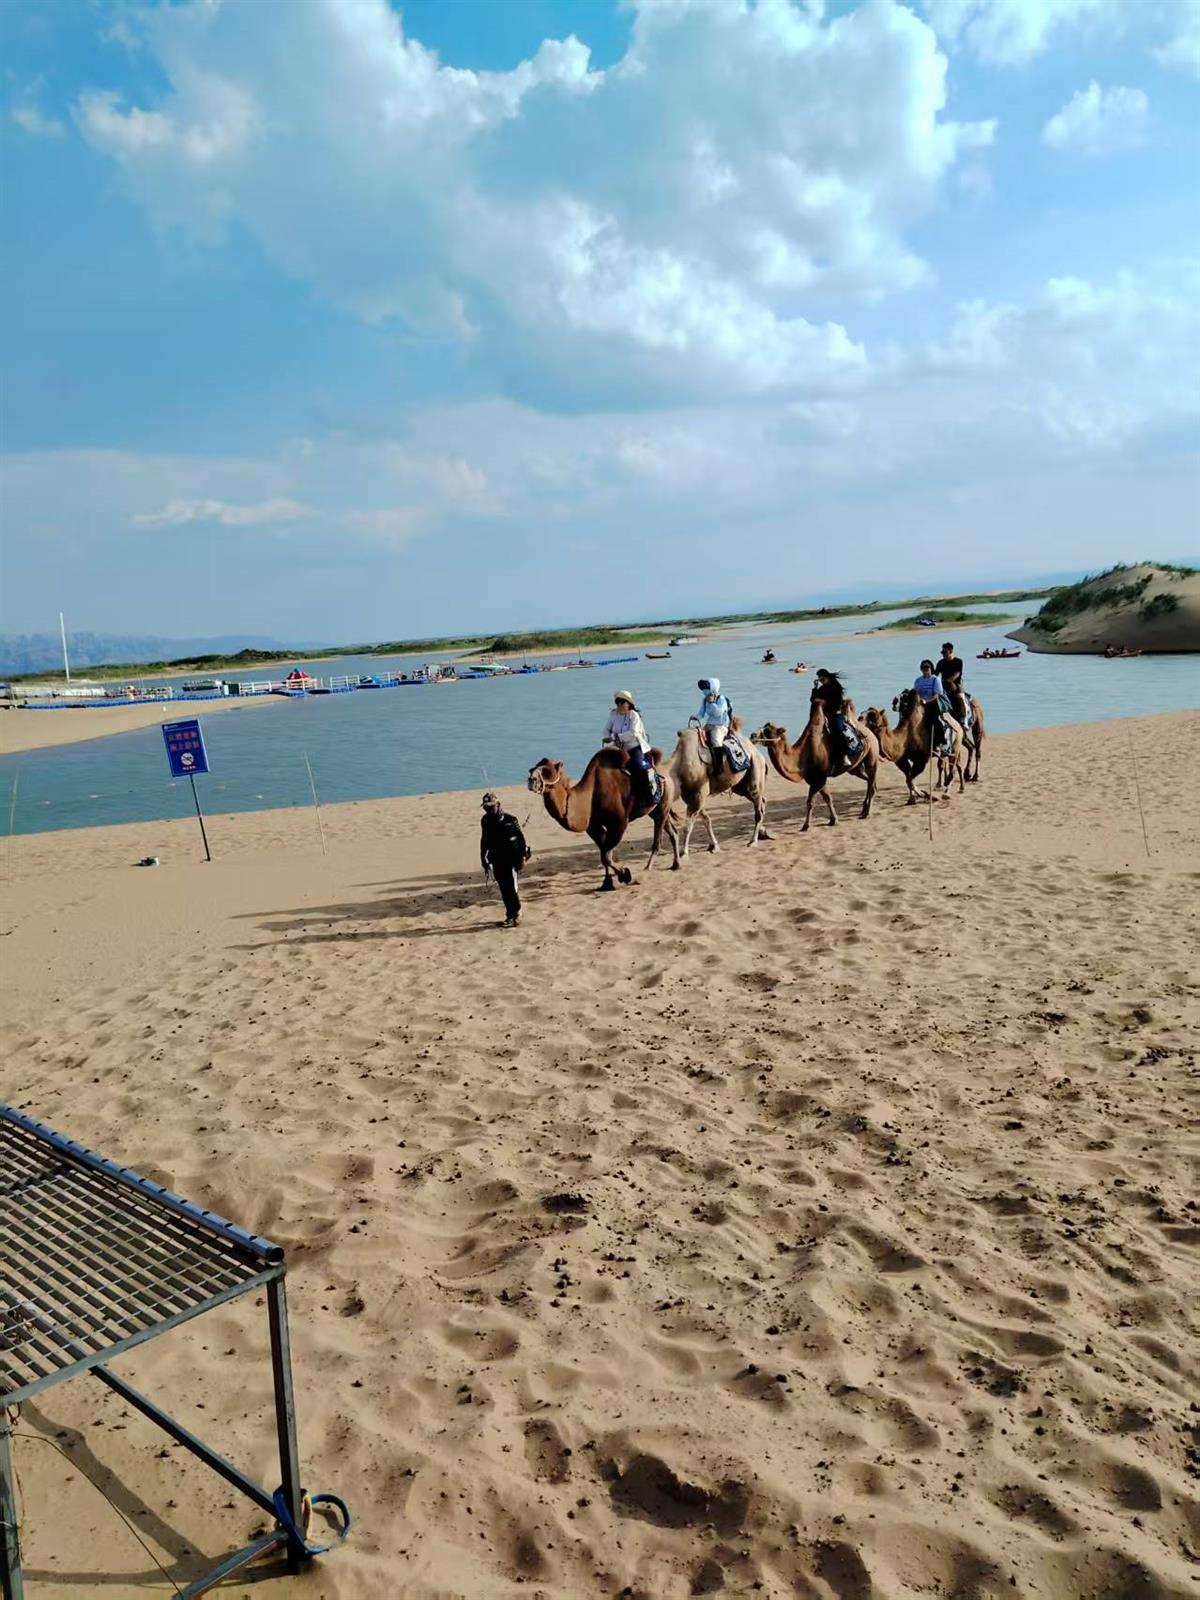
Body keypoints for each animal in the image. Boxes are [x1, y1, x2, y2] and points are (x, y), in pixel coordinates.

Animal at [528, 748, 680, 890]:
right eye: (531, 769)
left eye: (547, 771)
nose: (530, 780)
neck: (591, 795)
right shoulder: (594, 826)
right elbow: (604, 854)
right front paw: (607, 883)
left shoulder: (619, 822)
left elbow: (607, 855)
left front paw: (625, 875)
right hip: (656, 810)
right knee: (672, 832)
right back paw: (676, 865)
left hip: (663, 803)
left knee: (657, 841)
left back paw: (647, 869)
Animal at [667, 718, 770, 854]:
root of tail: (760, 755)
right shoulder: (691, 797)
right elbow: (706, 820)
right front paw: (714, 846)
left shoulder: (698, 795)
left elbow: (688, 826)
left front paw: (684, 853)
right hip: (741, 786)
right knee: (761, 800)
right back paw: (763, 832)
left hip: (755, 766)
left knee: (757, 805)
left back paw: (753, 841)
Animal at [749, 700, 879, 830]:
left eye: (767, 731)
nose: (752, 735)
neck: (802, 757)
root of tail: (869, 732)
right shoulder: (814, 779)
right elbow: (827, 798)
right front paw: (833, 820)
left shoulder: (819, 778)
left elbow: (810, 802)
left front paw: (806, 825)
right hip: (855, 768)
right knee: (868, 781)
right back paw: (863, 809)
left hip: (872, 756)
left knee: (871, 782)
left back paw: (867, 813)